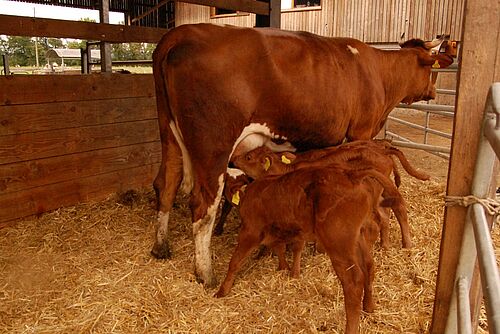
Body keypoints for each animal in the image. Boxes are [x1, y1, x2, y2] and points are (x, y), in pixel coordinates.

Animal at [150, 23, 456, 286]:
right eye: (431, 71)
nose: (433, 92)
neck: (378, 72)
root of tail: (181, 33)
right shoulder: (362, 131)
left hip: (169, 134)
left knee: (166, 183)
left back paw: (161, 247)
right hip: (213, 145)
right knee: (203, 205)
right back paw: (206, 273)